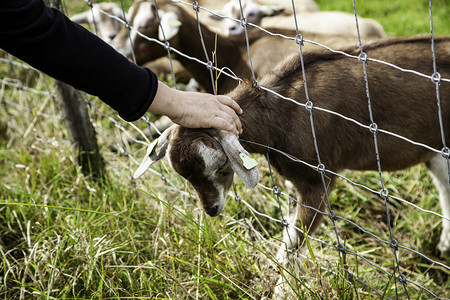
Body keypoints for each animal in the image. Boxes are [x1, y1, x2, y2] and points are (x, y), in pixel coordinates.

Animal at [134, 35, 450, 264]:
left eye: (222, 165)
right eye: (184, 176)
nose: (211, 209)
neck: (279, 112)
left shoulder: (317, 181)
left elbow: (290, 248)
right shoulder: (291, 181)